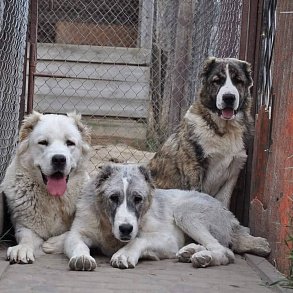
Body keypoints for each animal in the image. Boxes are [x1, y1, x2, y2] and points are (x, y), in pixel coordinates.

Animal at [1, 111, 90, 262]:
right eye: (43, 142)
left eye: (70, 143)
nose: (59, 159)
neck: (54, 198)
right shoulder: (24, 225)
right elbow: (26, 236)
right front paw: (22, 249)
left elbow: (71, 233)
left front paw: (51, 244)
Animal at [49, 163, 270, 270]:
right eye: (114, 198)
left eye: (138, 198)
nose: (126, 229)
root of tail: (233, 219)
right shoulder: (78, 233)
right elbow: (77, 243)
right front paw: (81, 257)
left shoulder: (168, 240)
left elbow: (139, 240)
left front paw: (125, 254)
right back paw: (191, 251)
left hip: (185, 212)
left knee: (225, 251)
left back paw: (203, 257)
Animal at [148, 57, 253, 206]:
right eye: (217, 81)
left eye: (238, 80)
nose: (229, 97)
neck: (223, 131)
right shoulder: (194, 168)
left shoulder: (232, 173)